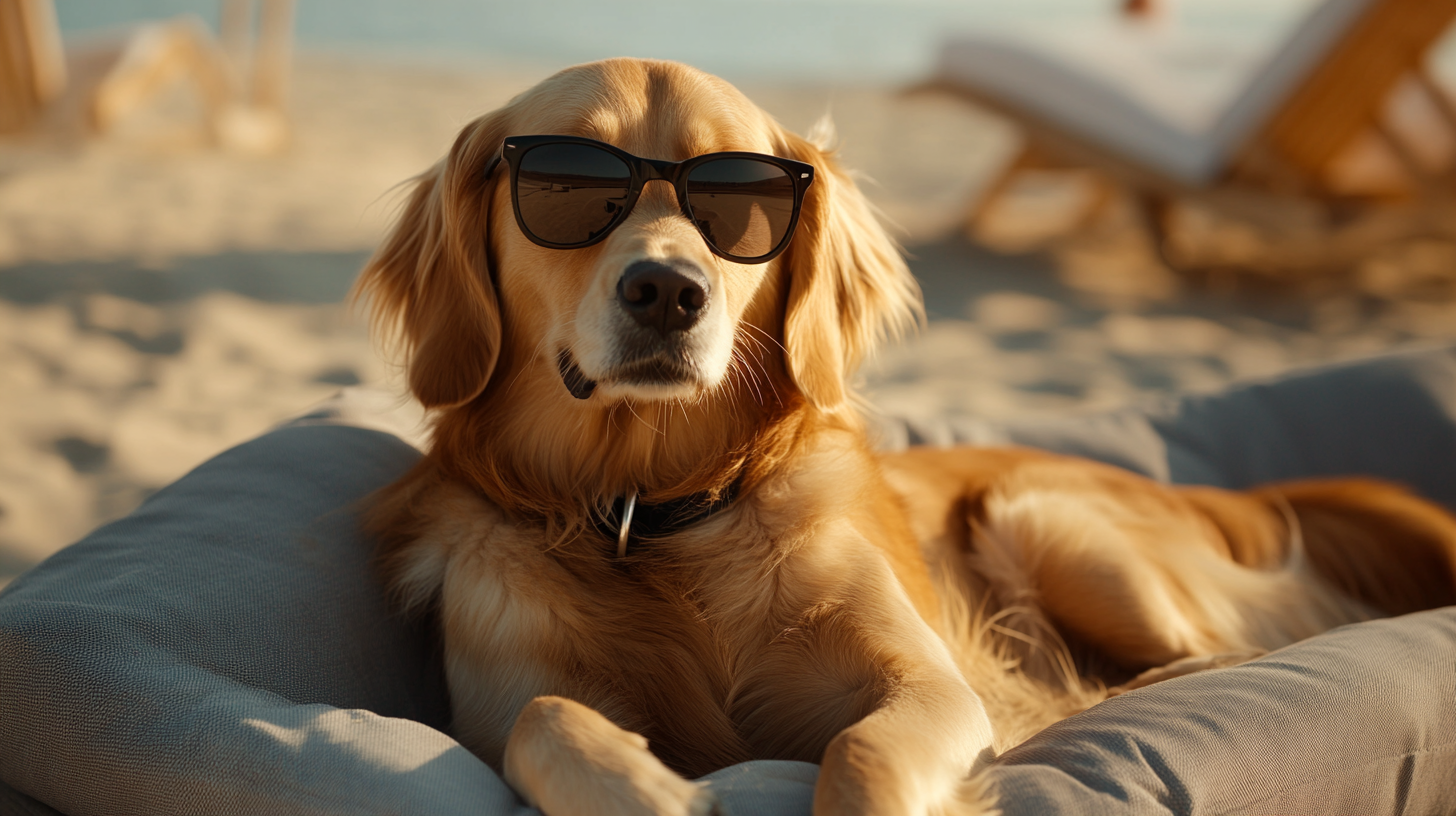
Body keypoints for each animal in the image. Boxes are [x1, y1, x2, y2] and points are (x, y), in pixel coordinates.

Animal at [352, 59, 1456, 816]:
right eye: (569, 189)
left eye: (738, 202)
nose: (668, 291)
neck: (654, 515)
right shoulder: (506, 699)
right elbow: (541, 718)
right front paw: (647, 789)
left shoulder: (925, 685)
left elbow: (865, 751)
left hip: (1048, 519)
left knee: (1233, 652)